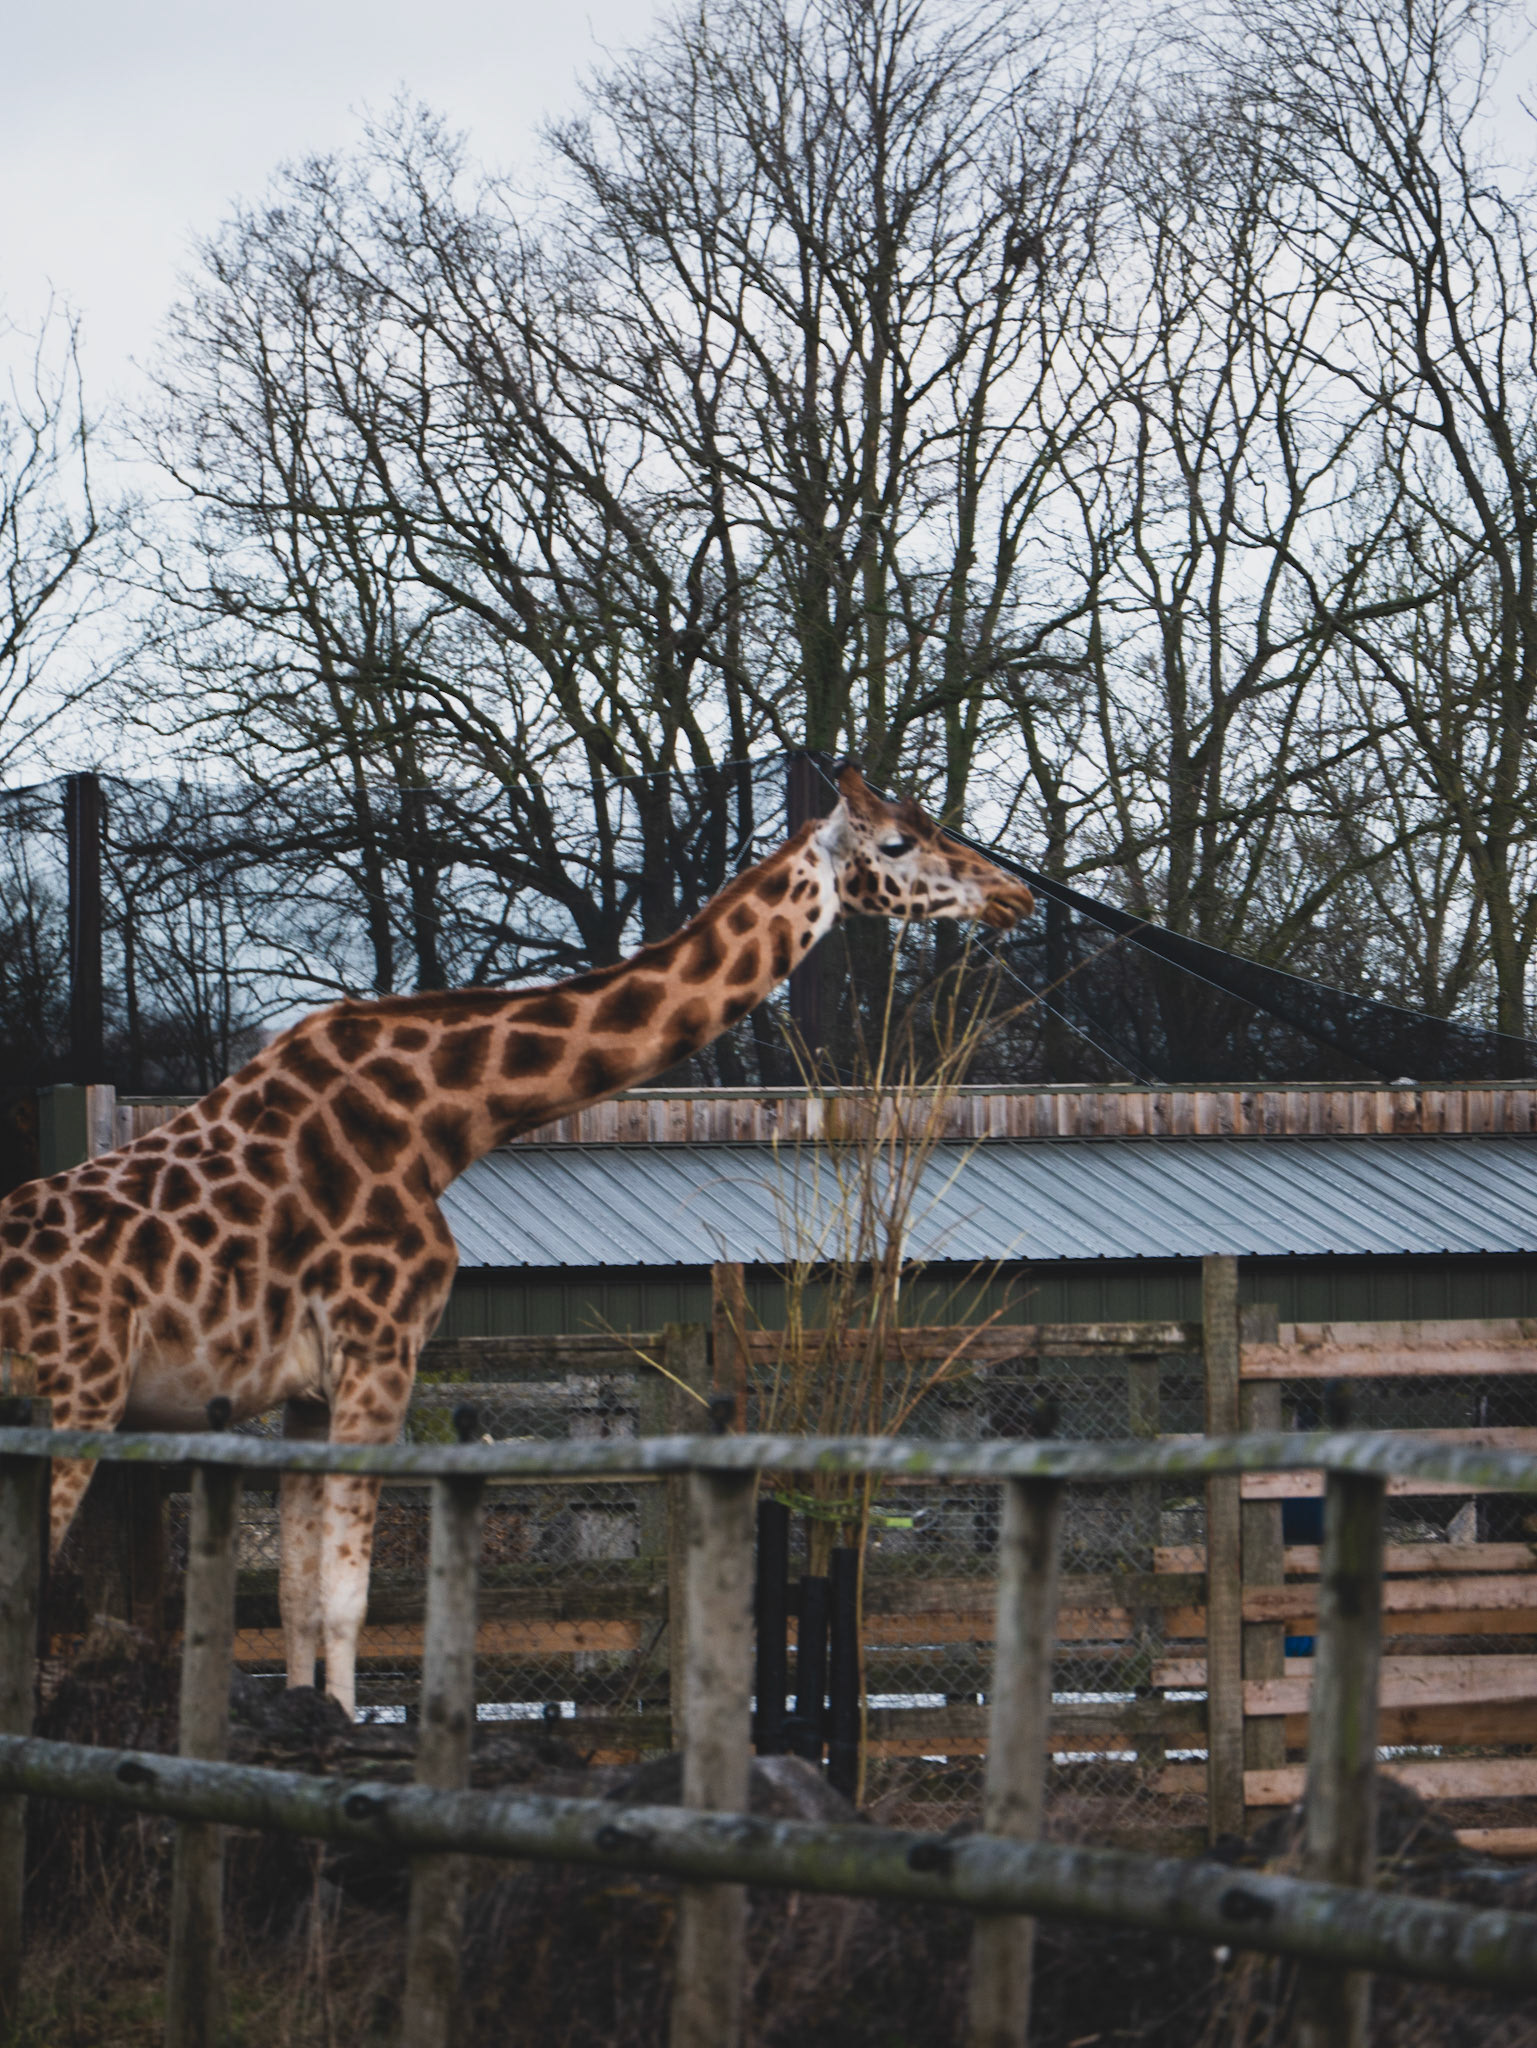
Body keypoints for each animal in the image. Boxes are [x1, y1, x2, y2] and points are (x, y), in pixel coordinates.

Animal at [0, 766, 1032, 1715]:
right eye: (897, 842)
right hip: (78, 1396)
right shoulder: (382, 1350)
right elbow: (347, 1599)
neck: (449, 1117)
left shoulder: (308, 1388)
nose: (1012, 894)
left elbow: (296, 1600)